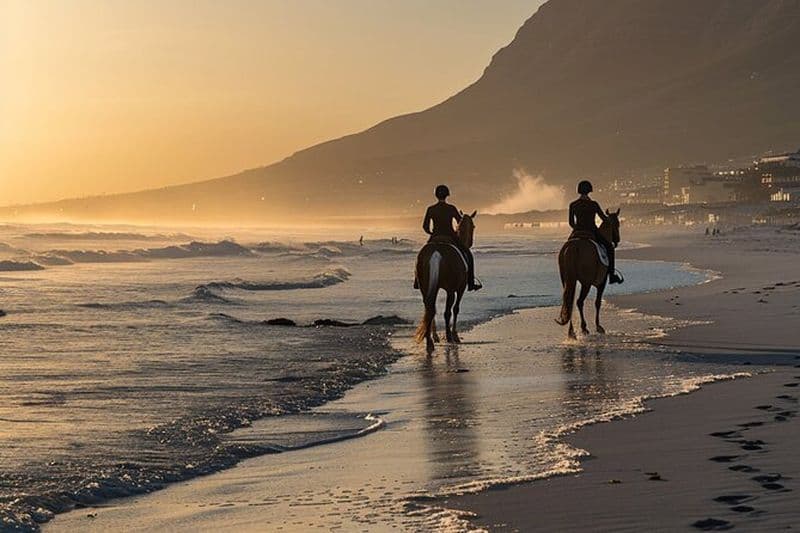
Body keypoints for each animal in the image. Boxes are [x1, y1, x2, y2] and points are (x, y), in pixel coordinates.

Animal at [414, 211, 476, 353]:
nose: (470, 243)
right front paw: (455, 335)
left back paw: (430, 341)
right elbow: (456, 309)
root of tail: (436, 252)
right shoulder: (460, 288)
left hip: (425, 287)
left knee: (429, 309)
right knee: (447, 312)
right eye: (473, 226)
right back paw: (448, 336)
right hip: (451, 290)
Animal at [556, 209, 621, 339]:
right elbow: (597, 303)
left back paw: (572, 332)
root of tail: (573, 247)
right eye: (617, 224)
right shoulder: (602, 282)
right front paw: (598, 327)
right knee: (579, 302)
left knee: (569, 302)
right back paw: (584, 328)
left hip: (567, 281)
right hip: (586, 283)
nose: (617, 240)